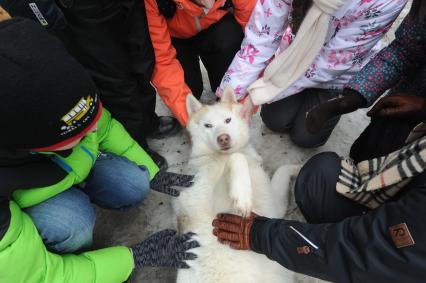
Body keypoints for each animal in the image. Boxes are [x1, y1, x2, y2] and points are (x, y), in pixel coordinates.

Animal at [173, 87, 296, 282]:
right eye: (208, 126)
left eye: (227, 120)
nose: (223, 138)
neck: (217, 158)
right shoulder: (219, 210)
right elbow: (236, 158)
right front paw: (242, 195)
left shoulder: (275, 205)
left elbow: (283, 169)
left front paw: (299, 168)